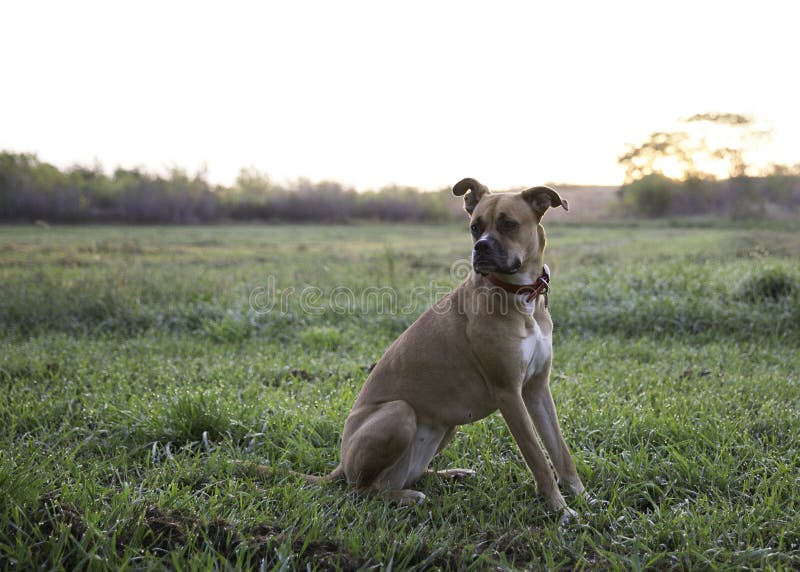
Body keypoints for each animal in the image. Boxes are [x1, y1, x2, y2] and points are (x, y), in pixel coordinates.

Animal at [250, 179, 588, 524]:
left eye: (509, 224)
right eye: (474, 227)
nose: (480, 247)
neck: (521, 296)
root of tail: (341, 465)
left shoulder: (537, 389)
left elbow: (560, 450)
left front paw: (582, 496)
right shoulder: (509, 393)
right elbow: (537, 457)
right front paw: (560, 509)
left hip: (448, 422)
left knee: (405, 476)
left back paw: (449, 475)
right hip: (399, 413)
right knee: (361, 490)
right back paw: (408, 496)